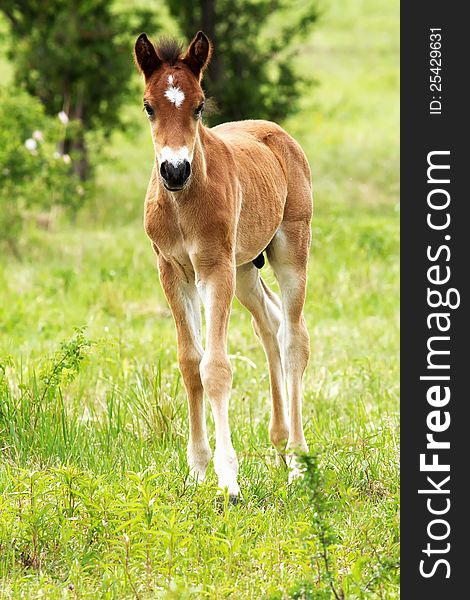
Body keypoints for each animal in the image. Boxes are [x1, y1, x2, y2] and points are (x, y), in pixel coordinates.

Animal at [136, 30, 312, 500]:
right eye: (148, 106)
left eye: (199, 105)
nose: (174, 170)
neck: (183, 203)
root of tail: (277, 133)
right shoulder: (172, 270)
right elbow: (189, 363)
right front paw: (198, 469)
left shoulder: (215, 268)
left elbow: (215, 367)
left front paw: (228, 478)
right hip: (247, 266)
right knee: (270, 325)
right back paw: (279, 444)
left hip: (289, 250)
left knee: (294, 338)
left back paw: (298, 462)